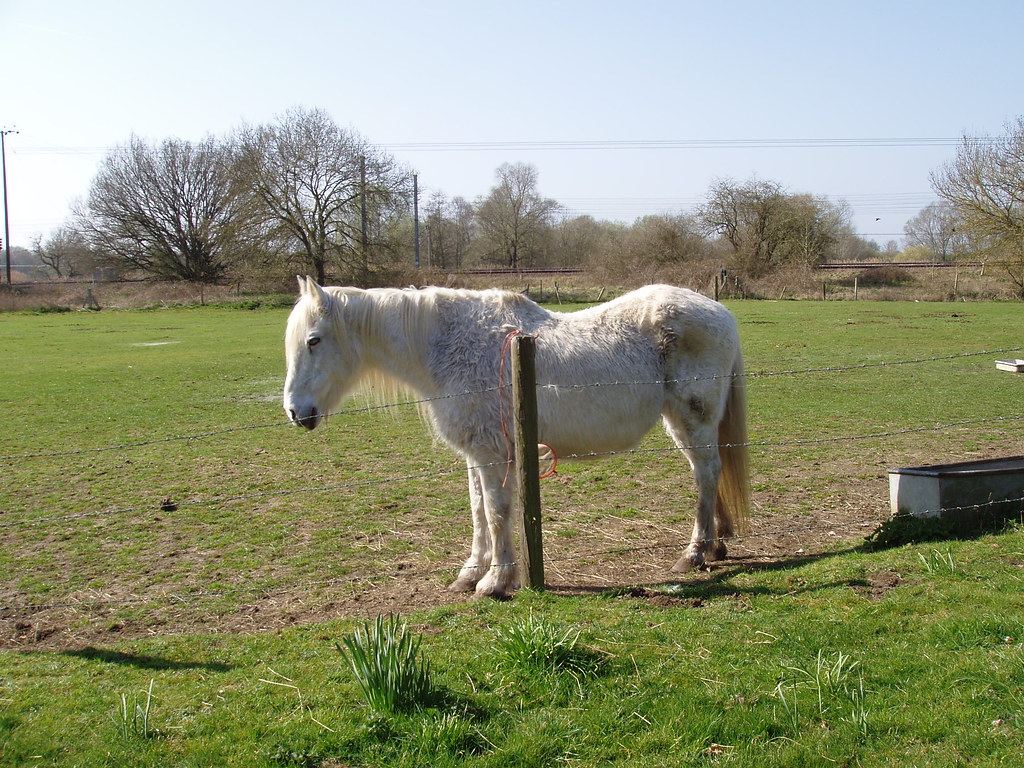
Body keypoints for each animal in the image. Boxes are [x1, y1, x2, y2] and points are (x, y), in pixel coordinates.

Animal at [283, 277, 750, 599]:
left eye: (314, 340)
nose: (295, 412)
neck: (447, 348)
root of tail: (720, 310)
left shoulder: (492, 455)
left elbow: (495, 512)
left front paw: (496, 580)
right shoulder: (475, 454)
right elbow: (477, 511)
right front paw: (471, 571)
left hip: (692, 420)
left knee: (706, 474)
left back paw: (694, 552)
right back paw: (716, 547)